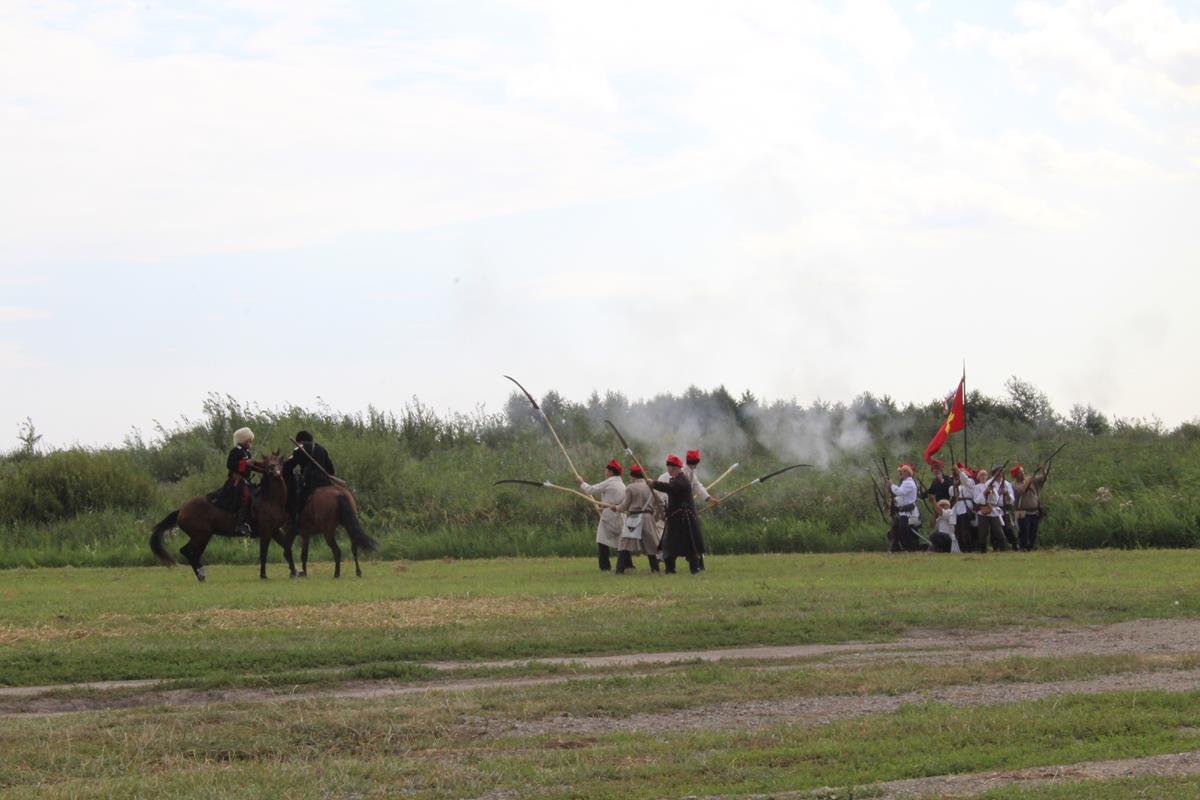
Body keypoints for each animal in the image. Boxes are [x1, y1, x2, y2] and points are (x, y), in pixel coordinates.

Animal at [149, 452, 296, 581]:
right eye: (266, 462)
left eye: (278, 461)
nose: (274, 471)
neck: (270, 500)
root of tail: (181, 510)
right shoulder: (266, 533)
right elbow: (263, 553)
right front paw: (263, 575)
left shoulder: (275, 531)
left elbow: (287, 548)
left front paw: (294, 572)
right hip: (201, 536)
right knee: (187, 551)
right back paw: (201, 573)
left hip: (203, 537)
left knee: (193, 554)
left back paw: (201, 574)